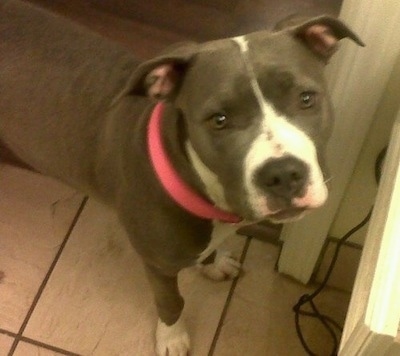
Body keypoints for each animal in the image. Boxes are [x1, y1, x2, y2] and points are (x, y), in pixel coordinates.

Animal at [0, 1, 362, 354]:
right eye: (219, 120)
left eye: (306, 98)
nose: (283, 173)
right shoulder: (157, 263)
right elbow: (172, 301)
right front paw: (172, 338)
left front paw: (214, 263)